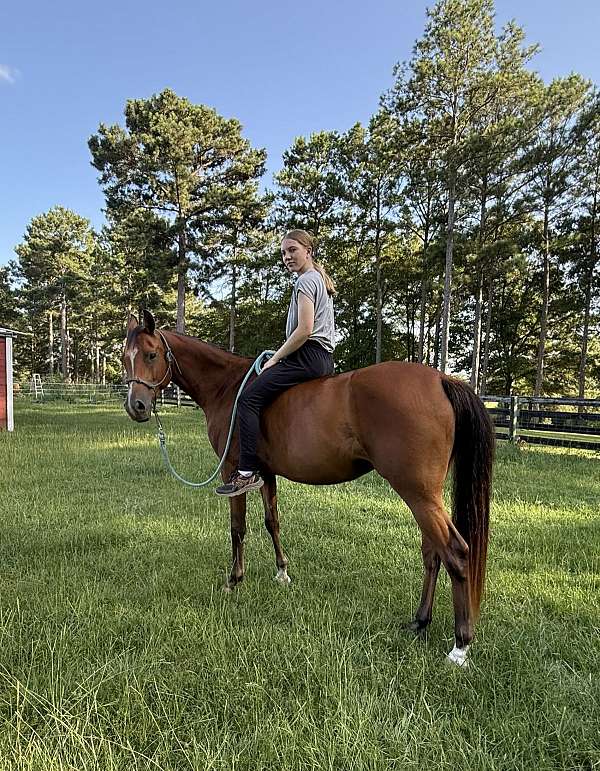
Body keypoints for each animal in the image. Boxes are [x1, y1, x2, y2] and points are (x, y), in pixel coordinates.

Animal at [123, 310, 494, 666]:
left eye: (151, 354)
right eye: (126, 358)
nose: (136, 406)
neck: (227, 387)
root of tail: (441, 379)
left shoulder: (232, 471)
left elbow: (237, 528)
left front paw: (234, 580)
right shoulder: (264, 474)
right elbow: (272, 522)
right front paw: (282, 573)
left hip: (418, 494)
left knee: (456, 553)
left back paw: (460, 646)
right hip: (426, 496)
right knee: (432, 553)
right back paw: (420, 622)